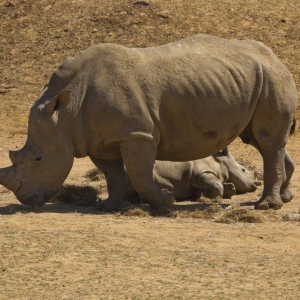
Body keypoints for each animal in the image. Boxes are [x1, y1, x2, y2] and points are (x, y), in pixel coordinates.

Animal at [0, 34, 296, 214]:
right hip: (255, 79)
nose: (25, 200)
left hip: (271, 79)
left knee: (267, 141)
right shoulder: (100, 138)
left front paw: (166, 203)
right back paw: (285, 198)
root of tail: (276, 59)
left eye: (38, 159)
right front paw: (110, 206)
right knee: (264, 141)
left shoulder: (136, 133)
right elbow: (113, 174)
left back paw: (267, 206)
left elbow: (139, 174)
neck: (65, 112)